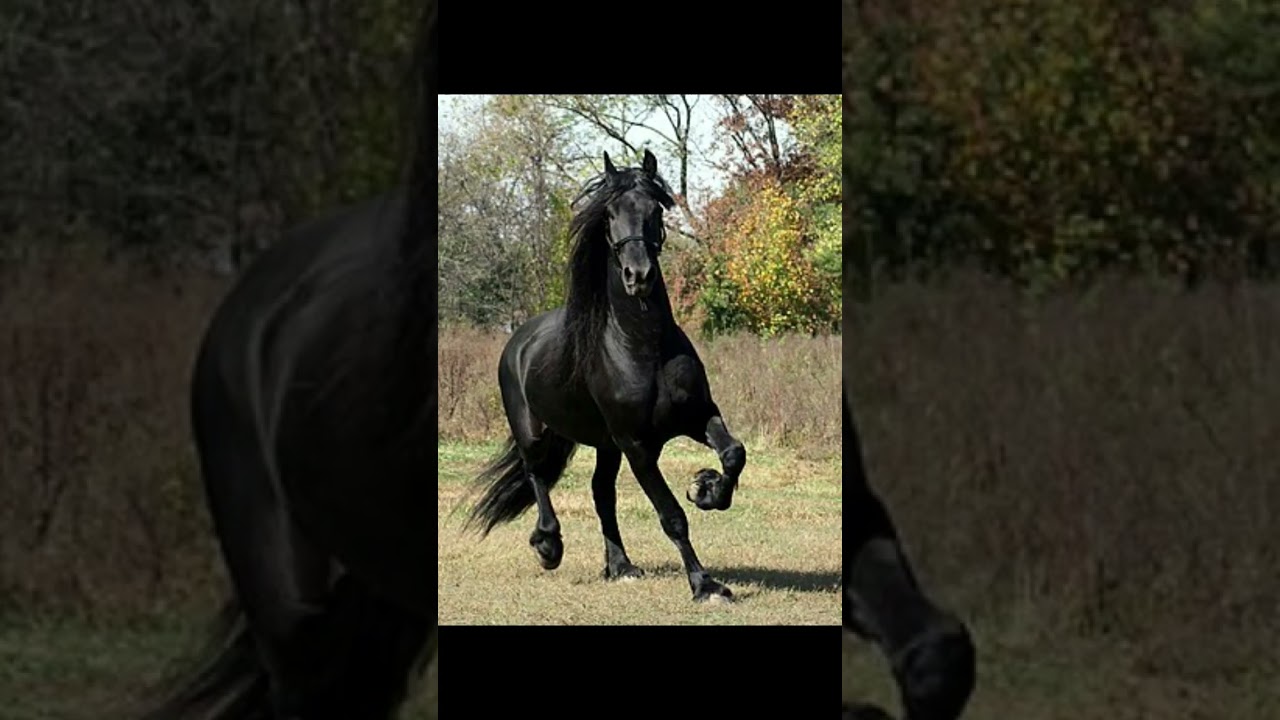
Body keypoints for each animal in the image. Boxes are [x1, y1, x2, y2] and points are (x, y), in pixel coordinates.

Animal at [465, 149, 748, 603]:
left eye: (655, 210)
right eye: (609, 214)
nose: (638, 276)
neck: (644, 348)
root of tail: (519, 340)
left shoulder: (697, 417)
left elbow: (733, 454)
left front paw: (705, 488)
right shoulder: (637, 446)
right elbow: (672, 516)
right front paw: (706, 586)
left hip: (605, 444)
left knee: (600, 493)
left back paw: (621, 566)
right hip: (536, 432)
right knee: (537, 474)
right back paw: (548, 545)